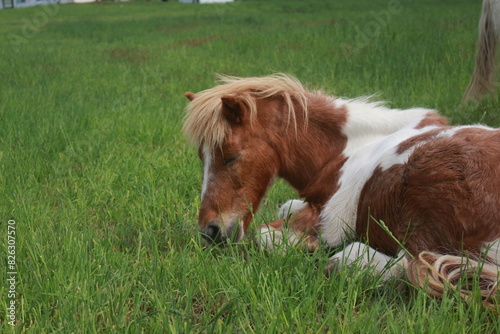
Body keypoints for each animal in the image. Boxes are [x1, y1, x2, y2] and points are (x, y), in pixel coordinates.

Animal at [185, 73, 500, 302]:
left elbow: (265, 235)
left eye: (231, 156)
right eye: (201, 156)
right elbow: (286, 207)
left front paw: (301, 245)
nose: (210, 231)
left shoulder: (332, 220)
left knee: (408, 265)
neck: (348, 149)